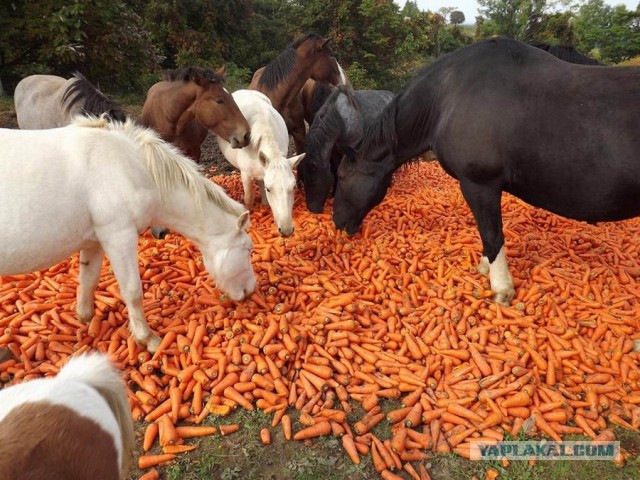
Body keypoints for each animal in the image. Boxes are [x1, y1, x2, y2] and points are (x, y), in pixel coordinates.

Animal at [0, 114, 255, 350]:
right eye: (248, 250)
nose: (251, 290)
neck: (129, 167)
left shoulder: (94, 242)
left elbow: (88, 280)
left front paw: (86, 320)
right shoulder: (119, 237)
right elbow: (133, 291)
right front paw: (147, 338)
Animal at [332, 38, 640, 308]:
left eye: (343, 177)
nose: (336, 221)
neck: (448, 97)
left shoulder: (479, 185)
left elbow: (492, 234)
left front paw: (501, 288)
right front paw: (485, 266)